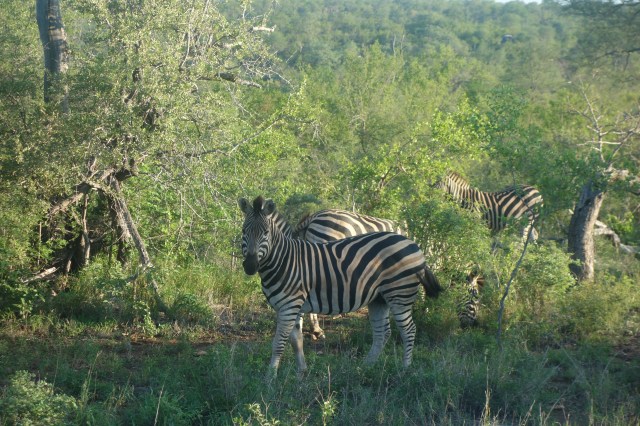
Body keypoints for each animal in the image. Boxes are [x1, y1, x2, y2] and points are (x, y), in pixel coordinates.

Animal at [239, 196, 442, 376]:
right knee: (382, 333)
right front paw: (301, 372)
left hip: (399, 294)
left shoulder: (289, 306)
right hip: (379, 298)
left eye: (266, 233)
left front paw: (270, 378)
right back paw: (365, 368)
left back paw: (405, 369)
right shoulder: (291, 307)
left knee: (408, 330)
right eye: (243, 231)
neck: (286, 260)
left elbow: (278, 343)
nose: (250, 266)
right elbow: (296, 340)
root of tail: (413, 243)